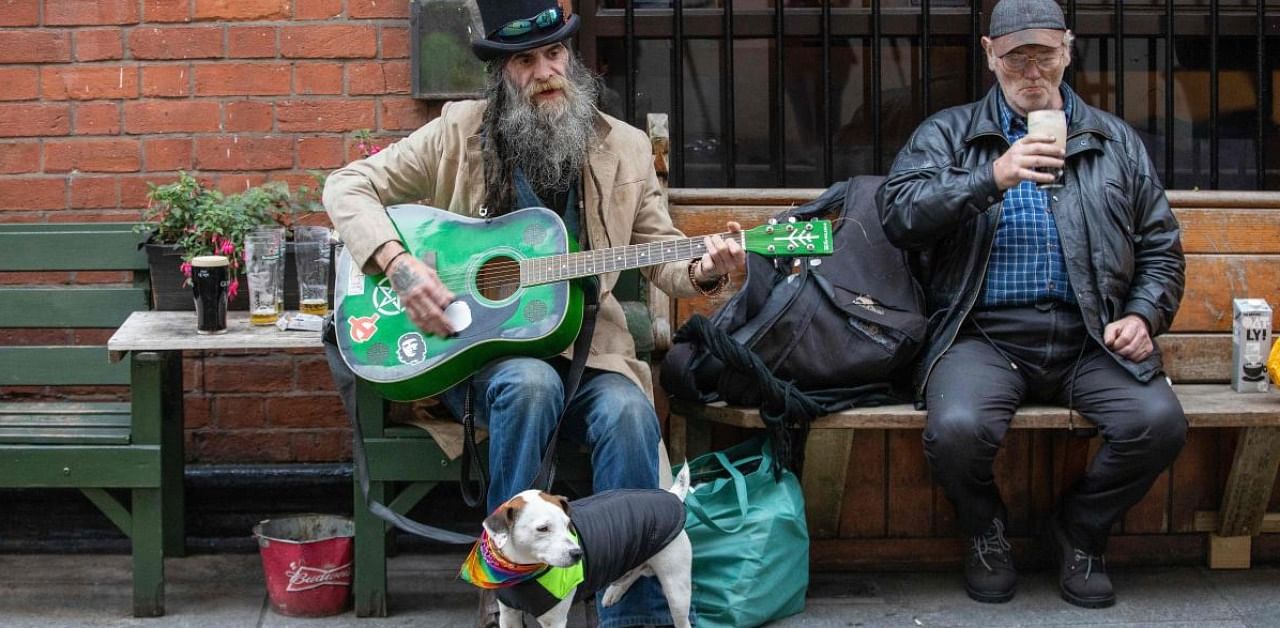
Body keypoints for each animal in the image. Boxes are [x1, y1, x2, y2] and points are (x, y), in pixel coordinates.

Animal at [465, 463, 696, 628]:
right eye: (542, 528)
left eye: (568, 525)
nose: (578, 553)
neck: (522, 572)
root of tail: (672, 495)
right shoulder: (509, 615)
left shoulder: (554, 621)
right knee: (634, 572)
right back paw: (614, 591)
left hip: (676, 588)